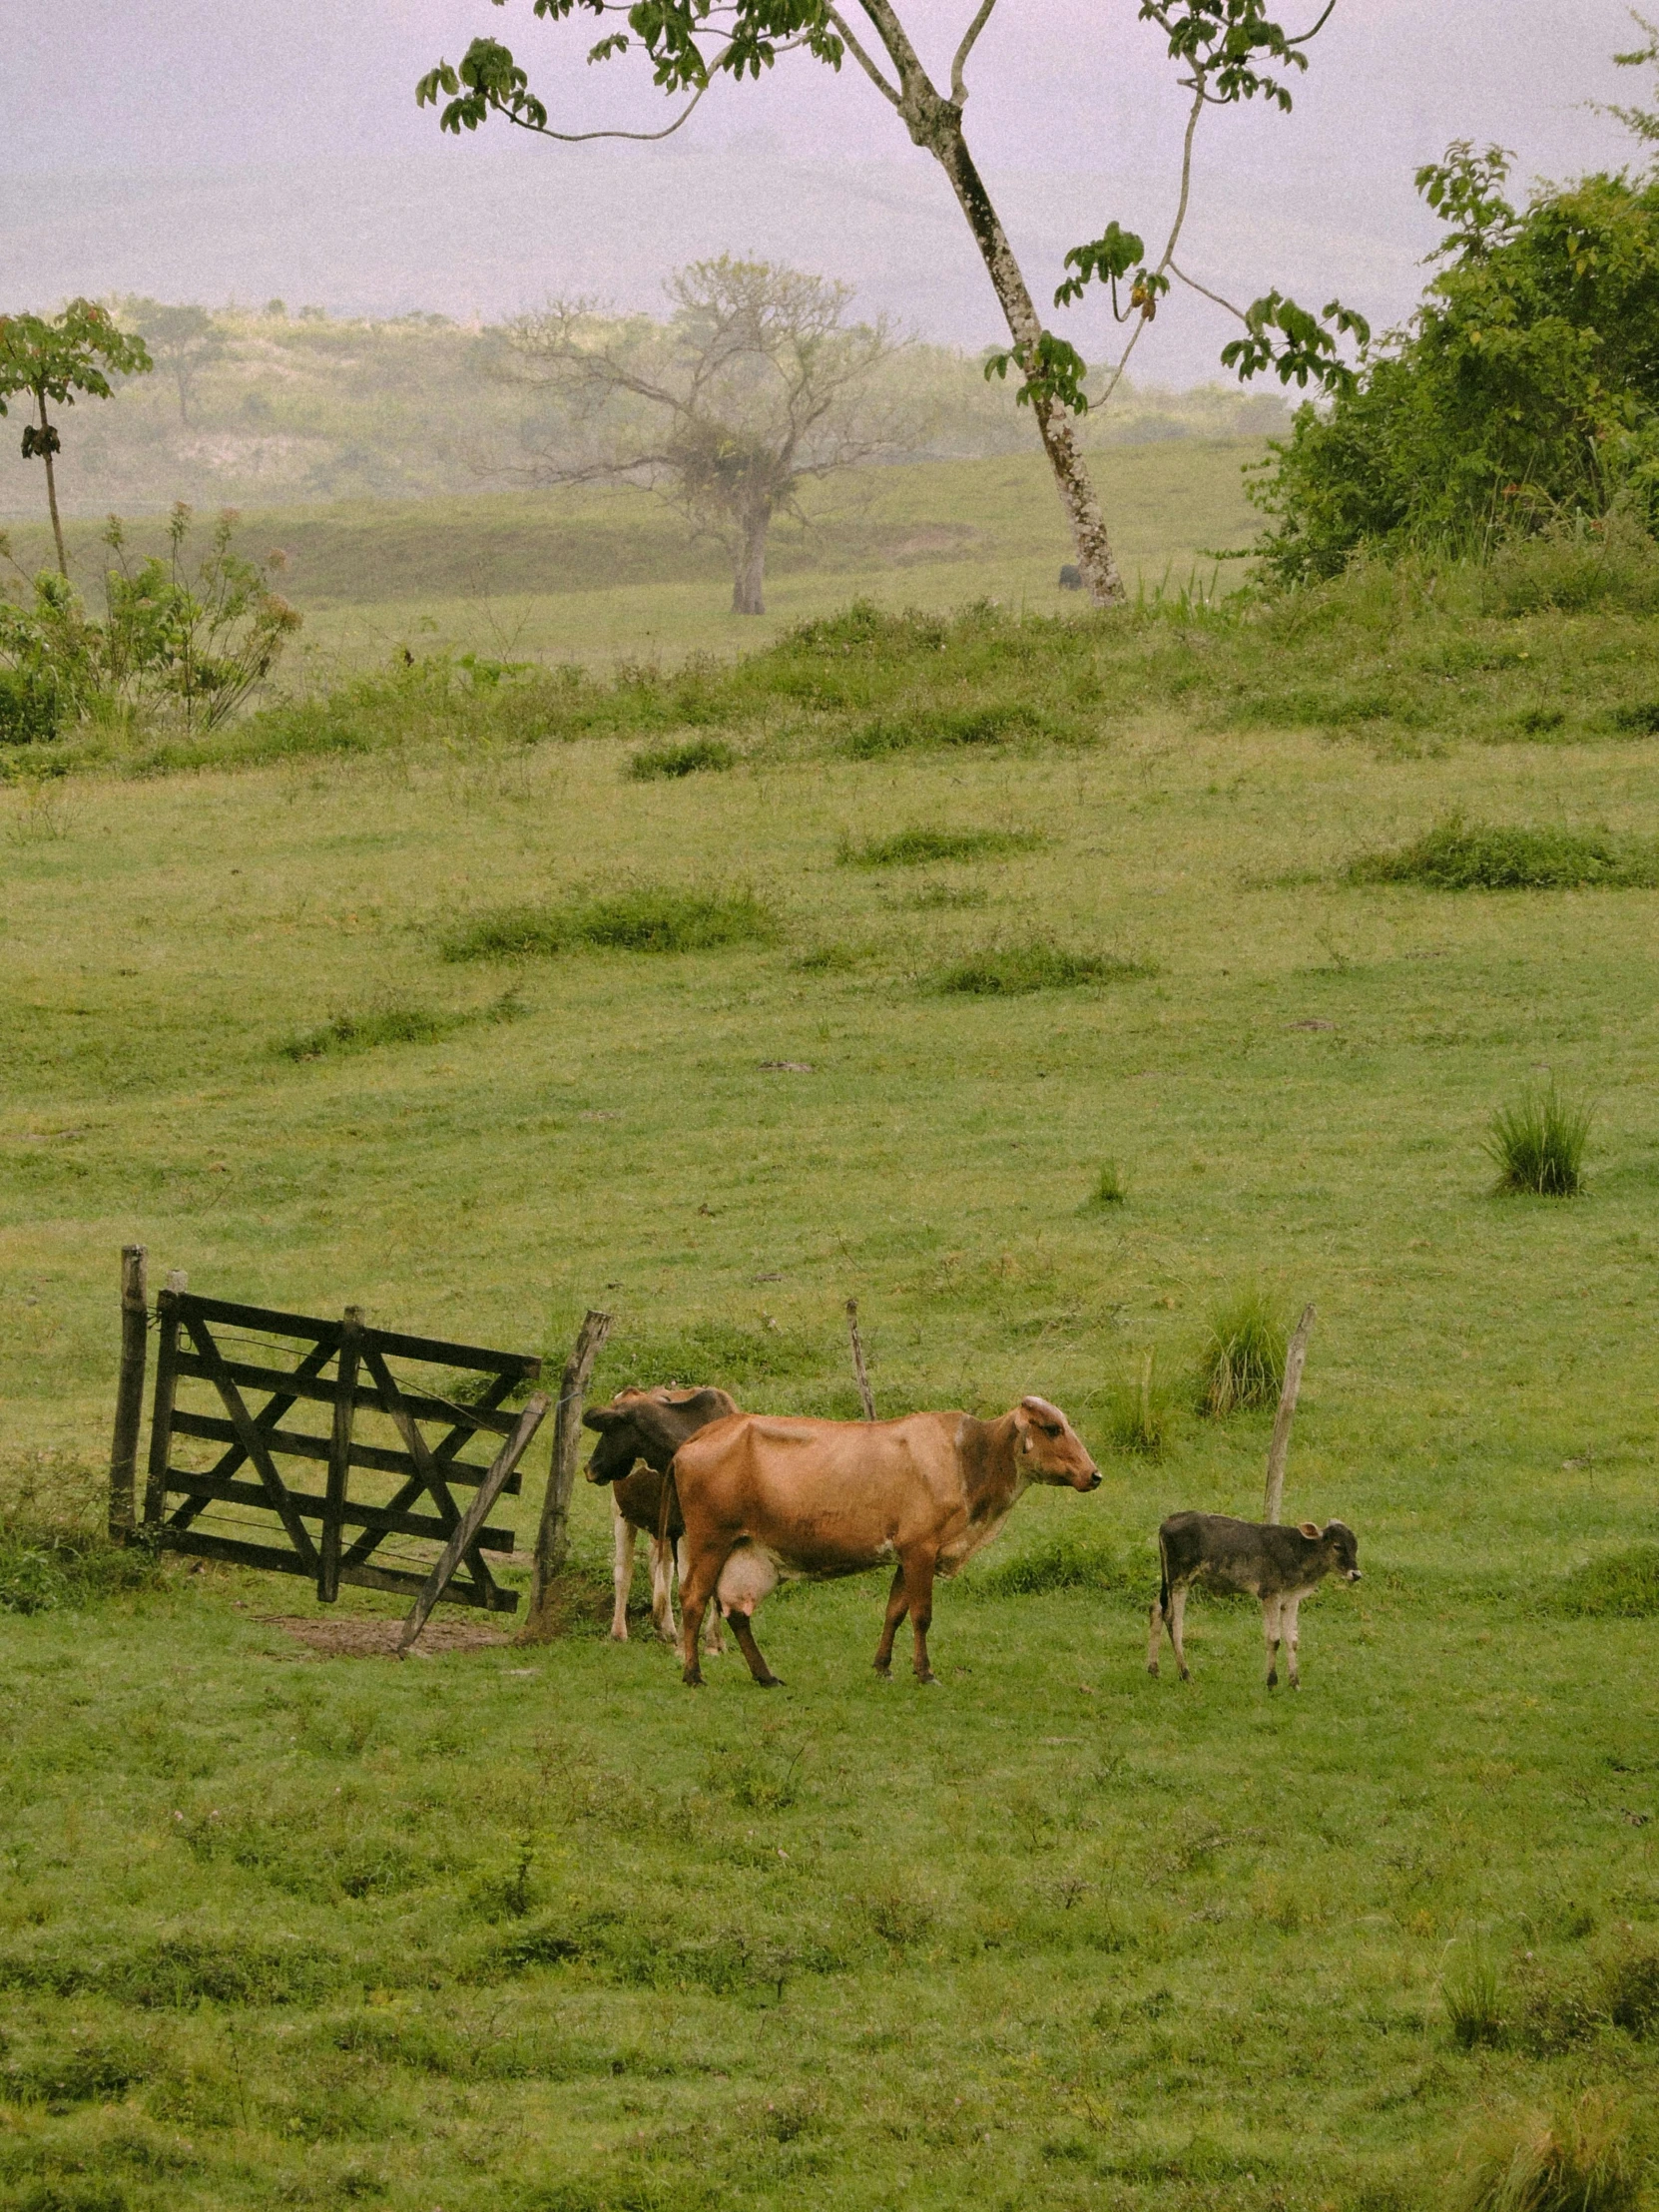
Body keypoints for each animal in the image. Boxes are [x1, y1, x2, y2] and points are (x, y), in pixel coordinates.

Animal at [584, 1380, 739, 1645]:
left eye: (610, 1428)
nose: (589, 1468)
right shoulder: (686, 1530)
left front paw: (714, 1640)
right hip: (622, 1515)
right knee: (624, 1570)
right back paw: (620, 1631)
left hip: (661, 1526)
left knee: (661, 1567)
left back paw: (665, 1627)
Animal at [663, 1397, 1106, 1690]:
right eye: (1052, 1428)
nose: (1095, 1474)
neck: (968, 1457)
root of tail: (702, 1435)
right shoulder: (920, 1549)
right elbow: (921, 1615)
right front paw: (925, 1672)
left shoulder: (907, 1556)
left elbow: (894, 1611)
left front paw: (883, 1666)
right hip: (708, 1542)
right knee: (694, 1601)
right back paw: (693, 1674)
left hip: (746, 1552)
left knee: (737, 1613)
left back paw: (765, 1675)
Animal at [1141, 1512, 1363, 1681]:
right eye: (1337, 1546)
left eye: (1355, 1546)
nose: (1356, 1574)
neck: (1298, 1555)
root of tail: (1167, 1522)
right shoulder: (1269, 1593)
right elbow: (1274, 1639)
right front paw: (1272, 1682)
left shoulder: (1291, 1599)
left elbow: (1292, 1640)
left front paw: (1295, 1683)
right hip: (1180, 1578)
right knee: (1173, 1619)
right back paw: (1186, 1675)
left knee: (1156, 1608)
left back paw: (1154, 1669)